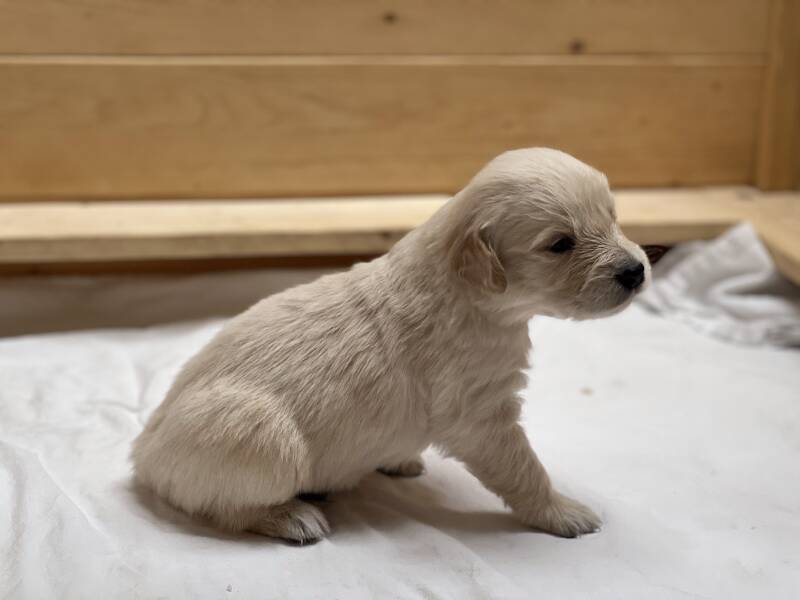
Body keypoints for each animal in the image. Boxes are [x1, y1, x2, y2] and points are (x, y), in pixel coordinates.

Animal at [132, 148, 650, 543]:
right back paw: (292, 516)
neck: (470, 292)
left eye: (612, 216)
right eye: (560, 244)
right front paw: (562, 511)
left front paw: (400, 459)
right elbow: (524, 468)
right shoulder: (480, 416)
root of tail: (144, 454)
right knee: (222, 507)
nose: (637, 270)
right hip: (261, 435)